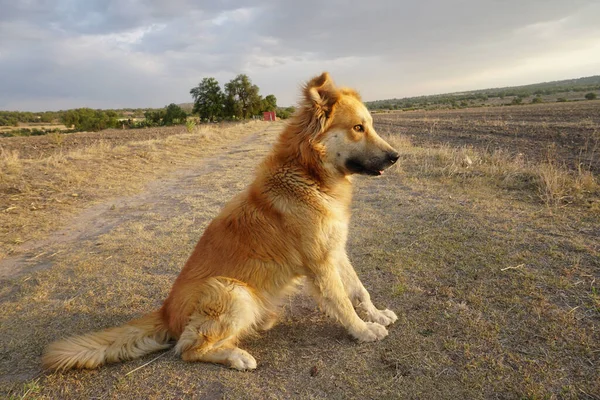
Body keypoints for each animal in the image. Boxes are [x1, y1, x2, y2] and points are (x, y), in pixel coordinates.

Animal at [41, 72, 398, 372]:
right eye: (358, 128)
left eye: (370, 125)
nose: (396, 157)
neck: (308, 175)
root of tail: (165, 312)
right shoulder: (321, 263)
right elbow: (342, 302)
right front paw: (363, 331)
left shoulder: (336, 251)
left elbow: (359, 290)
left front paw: (376, 315)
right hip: (233, 291)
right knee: (187, 348)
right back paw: (237, 357)